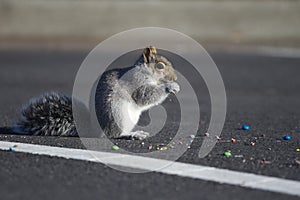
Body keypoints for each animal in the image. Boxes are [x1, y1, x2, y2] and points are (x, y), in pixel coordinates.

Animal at [12, 46, 179, 140]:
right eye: (160, 66)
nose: (175, 78)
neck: (145, 72)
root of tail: (96, 129)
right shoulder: (136, 83)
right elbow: (144, 96)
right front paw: (170, 86)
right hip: (118, 114)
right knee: (112, 134)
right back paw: (131, 134)